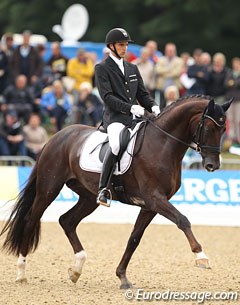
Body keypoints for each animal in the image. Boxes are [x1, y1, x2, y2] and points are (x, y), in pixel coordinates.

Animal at [0, 95, 232, 288]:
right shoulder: (155, 199)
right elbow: (183, 220)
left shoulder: (150, 206)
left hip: (88, 197)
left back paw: (76, 270)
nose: (212, 166)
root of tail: (55, 137)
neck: (163, 144)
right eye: (209, 128)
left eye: (223, 130)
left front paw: (122, 277)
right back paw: (21, 273)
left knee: (67, 221)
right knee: (31, 220)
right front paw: (201, 256)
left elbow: (134, 239)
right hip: (49, 189)